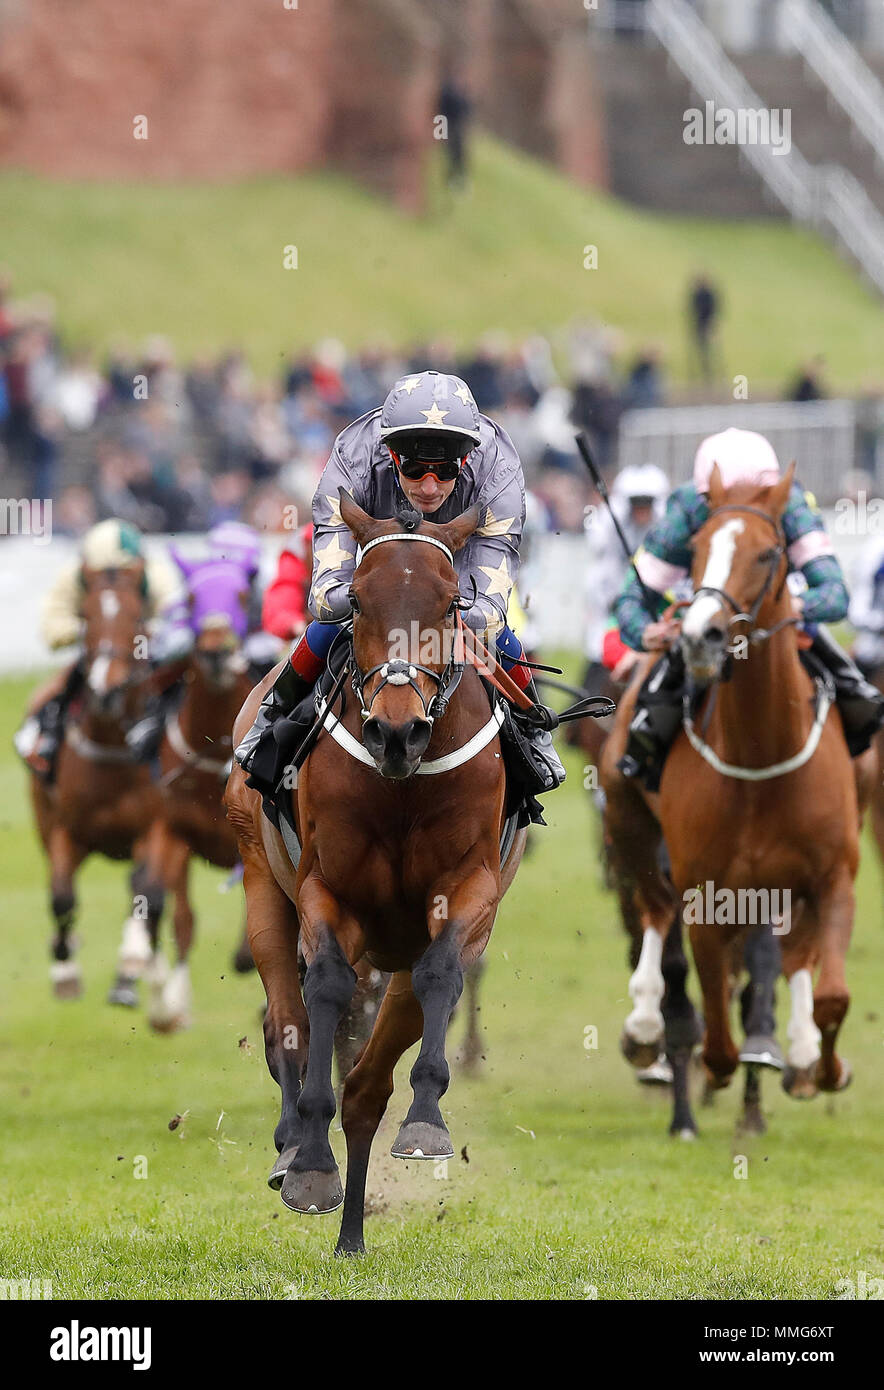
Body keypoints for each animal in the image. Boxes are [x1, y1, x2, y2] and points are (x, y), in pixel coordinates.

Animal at [27, 561, 159, 1000]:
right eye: (86, 617)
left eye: (137, 617)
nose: (106, 690)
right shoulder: (66, 830)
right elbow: (61, 897)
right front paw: (65, 972)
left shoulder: (155, 827)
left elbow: (145, 889)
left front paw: (130, 966)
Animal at [223, 494, 528, 1256]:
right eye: (358, 600)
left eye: (451, 604)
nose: (396, 730)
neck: (402, 785)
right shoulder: (326, 894)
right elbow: (324, 991)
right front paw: (308, 1158)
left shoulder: (471, 892)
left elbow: (441, 974)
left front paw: (426, 1123)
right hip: (260, 880)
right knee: (286, 1022)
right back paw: (296, 1152)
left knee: (367, 1085)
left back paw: (353, 1233)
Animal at [600, 461, 878, 1134]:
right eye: (698, 547)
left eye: (769, 552)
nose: (699, 634)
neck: (759, 755)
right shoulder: (705, 887)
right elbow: (715, 1017)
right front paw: (707, 1063)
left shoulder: (832, 876)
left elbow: (830, 993)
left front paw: (823, 1065)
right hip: (630, 823)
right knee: (654, 915)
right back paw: (646, 1024)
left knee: (793, 955)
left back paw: (798, 1053)